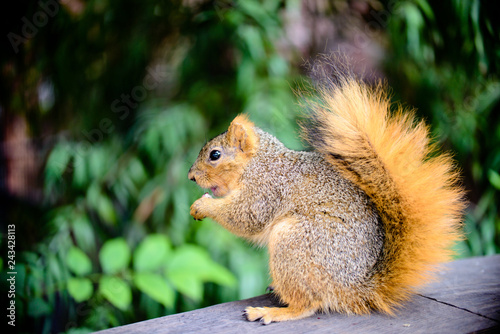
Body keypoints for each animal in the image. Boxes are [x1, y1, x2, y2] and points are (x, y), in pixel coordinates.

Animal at [187, 64, 464, 324]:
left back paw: (272, 312)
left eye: (215, 155)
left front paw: (203, 205)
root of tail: (354, 287)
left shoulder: (266, 189)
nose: (191, 176)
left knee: (308, 304)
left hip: (294, 243)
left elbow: (245, 217)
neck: (257, 163)